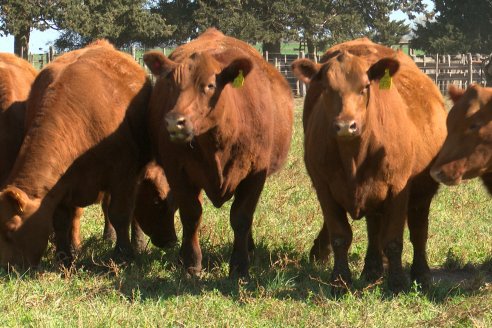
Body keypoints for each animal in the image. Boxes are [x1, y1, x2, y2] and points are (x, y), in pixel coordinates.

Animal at [0, 39, 161, 268]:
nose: (6, 268)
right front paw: (63, 257)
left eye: (10, 231)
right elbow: (60, 221)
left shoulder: (124, 174)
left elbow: (120, 214)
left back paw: (136, 243)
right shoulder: (59, 187)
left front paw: (123, 254)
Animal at [142, 29, 292, 278]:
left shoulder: (255, 174)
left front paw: (240, 266)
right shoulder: (178, 172)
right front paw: (191, 264)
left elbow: (242, 217)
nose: (174, 122)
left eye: (210, 85)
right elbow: (191, 215)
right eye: (171, 84)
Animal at [292, 39, 450, 292]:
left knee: (418, 232)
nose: (345, 126)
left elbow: (394, 240)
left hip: (422, 192)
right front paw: (340, 280)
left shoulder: (399, 187)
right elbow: (340, 236)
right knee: (374, 228)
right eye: (326, 87)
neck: (353, 157)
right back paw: (372, 269)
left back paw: (421, 273)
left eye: (365, 87)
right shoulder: (324, 187)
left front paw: (397, 283)